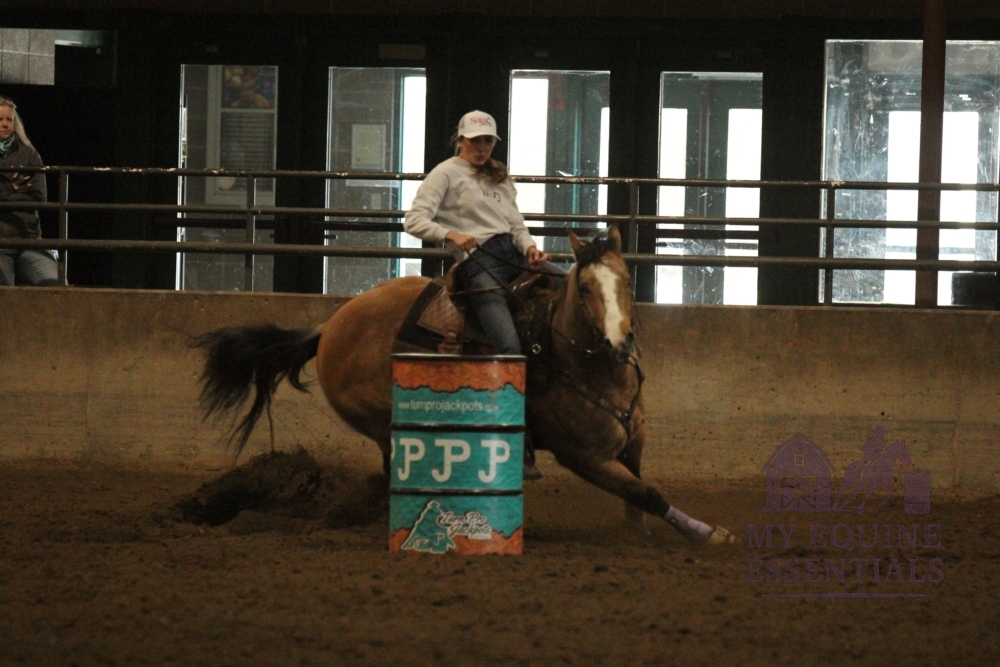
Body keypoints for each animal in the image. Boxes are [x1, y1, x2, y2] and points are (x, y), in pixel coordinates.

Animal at [197, 226, 735, 546]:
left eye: (624, 280)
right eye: (585, 289)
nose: (620, 341)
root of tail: (330, 325)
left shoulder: (632, 441)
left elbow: (639, 496)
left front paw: (643, 535)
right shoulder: (583, 458)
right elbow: (648, 493)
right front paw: (710, 534)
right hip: (383, 418)